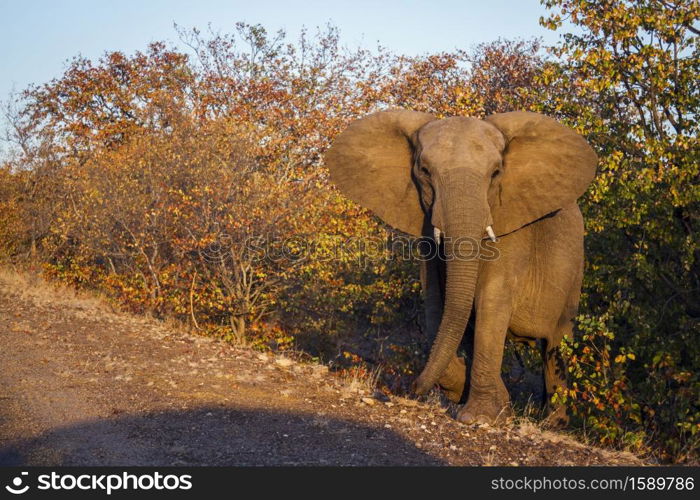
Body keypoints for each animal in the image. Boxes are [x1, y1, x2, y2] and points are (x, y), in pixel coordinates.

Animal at [326, 110, 596, 426]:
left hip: (574, 274)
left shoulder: (512, 228)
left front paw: (480, 416)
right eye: (425, 171)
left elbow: (490, 304)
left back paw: (553, 424)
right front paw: (494, 404)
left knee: (557, 346)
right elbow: (438, 305)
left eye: (496, 173)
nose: (412, 387)